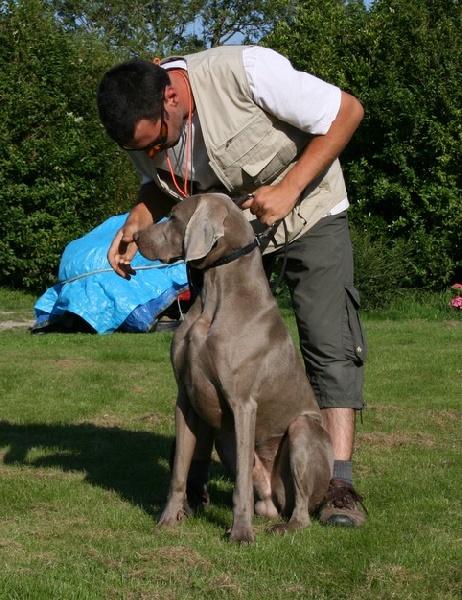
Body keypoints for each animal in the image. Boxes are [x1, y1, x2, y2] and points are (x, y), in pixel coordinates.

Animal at [135, 193, 334, 544]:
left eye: (172, 217)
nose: (134, 237)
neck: (216, 295)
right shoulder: (185, 400)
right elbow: (179, 471)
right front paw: (168, 520)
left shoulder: (243, 404)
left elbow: (240, 483)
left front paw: (241, 532)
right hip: (224, 439)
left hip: (302, 432)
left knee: (301, 508)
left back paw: (287, 525)